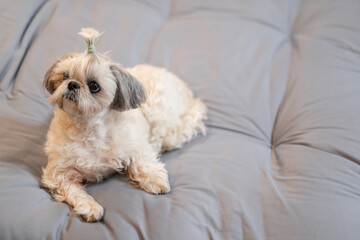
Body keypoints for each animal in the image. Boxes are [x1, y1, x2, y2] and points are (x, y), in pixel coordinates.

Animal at [41, 28, 207, 223]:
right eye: (65, 76)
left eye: (94, 86)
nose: (72, 84)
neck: (89, 127)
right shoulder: (58, 173)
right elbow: (73, 190)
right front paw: (90, 207)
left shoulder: (135, 145)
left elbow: (141, 162)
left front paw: (154, 180)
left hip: (159, 113)